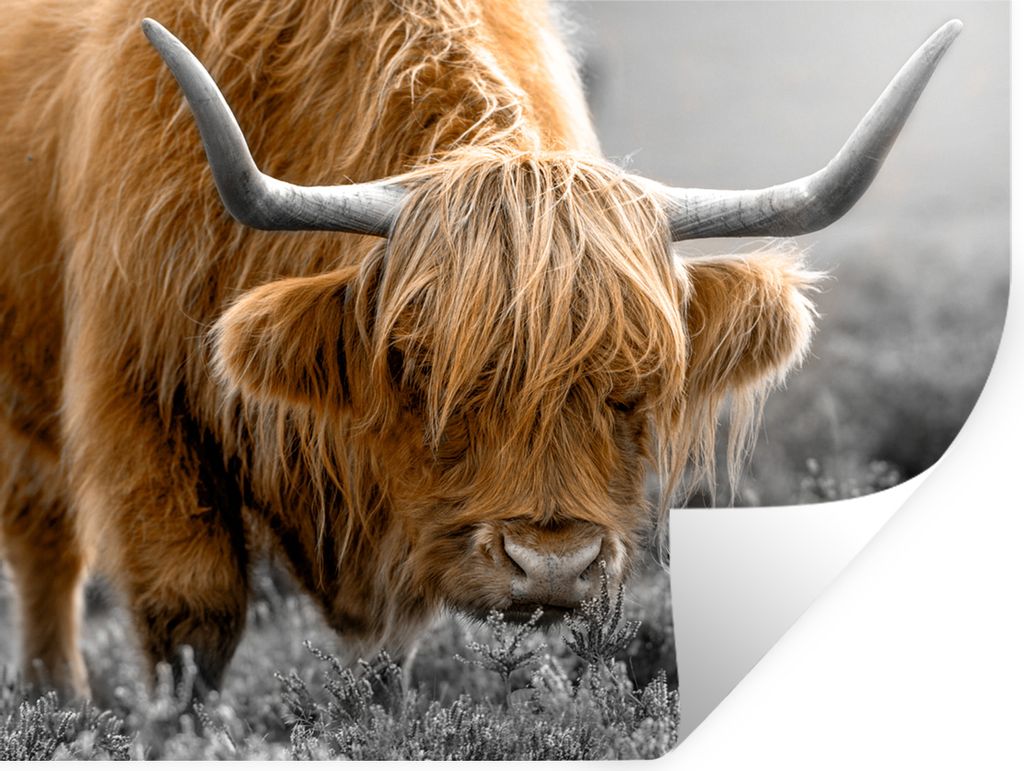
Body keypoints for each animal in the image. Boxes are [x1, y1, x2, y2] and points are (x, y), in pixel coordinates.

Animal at [0, 0, 959, 699]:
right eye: (423, 367)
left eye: (637, 382)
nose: (552, 564)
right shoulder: (139, 402)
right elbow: (189, 621)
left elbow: (394, 659)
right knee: (48, 548)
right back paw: (61, 702)